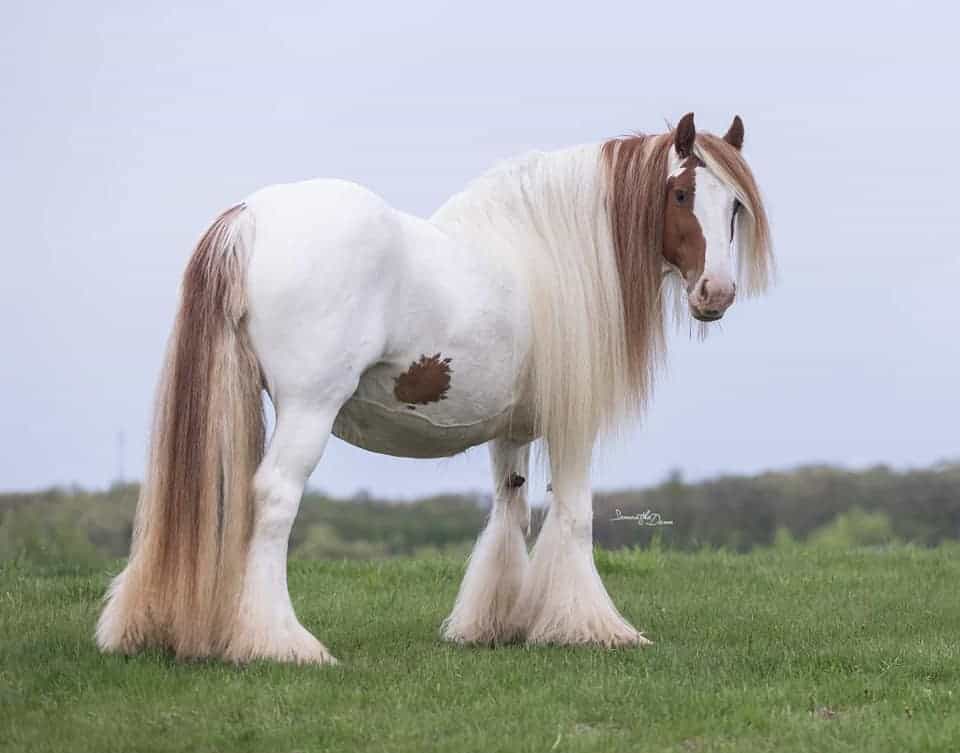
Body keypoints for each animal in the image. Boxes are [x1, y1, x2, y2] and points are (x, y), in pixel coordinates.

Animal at [96, 112, 772, 664]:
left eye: (736, 208)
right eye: (681, 193)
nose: (716, 293)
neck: (550, 256)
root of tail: (251, 217)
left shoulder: (514, 429)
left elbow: (509, 511)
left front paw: (494, 625)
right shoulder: (571, 424)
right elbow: (574, 516)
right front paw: (594, 628)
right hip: (308, 410)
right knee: (274, 500)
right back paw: (280, 643)